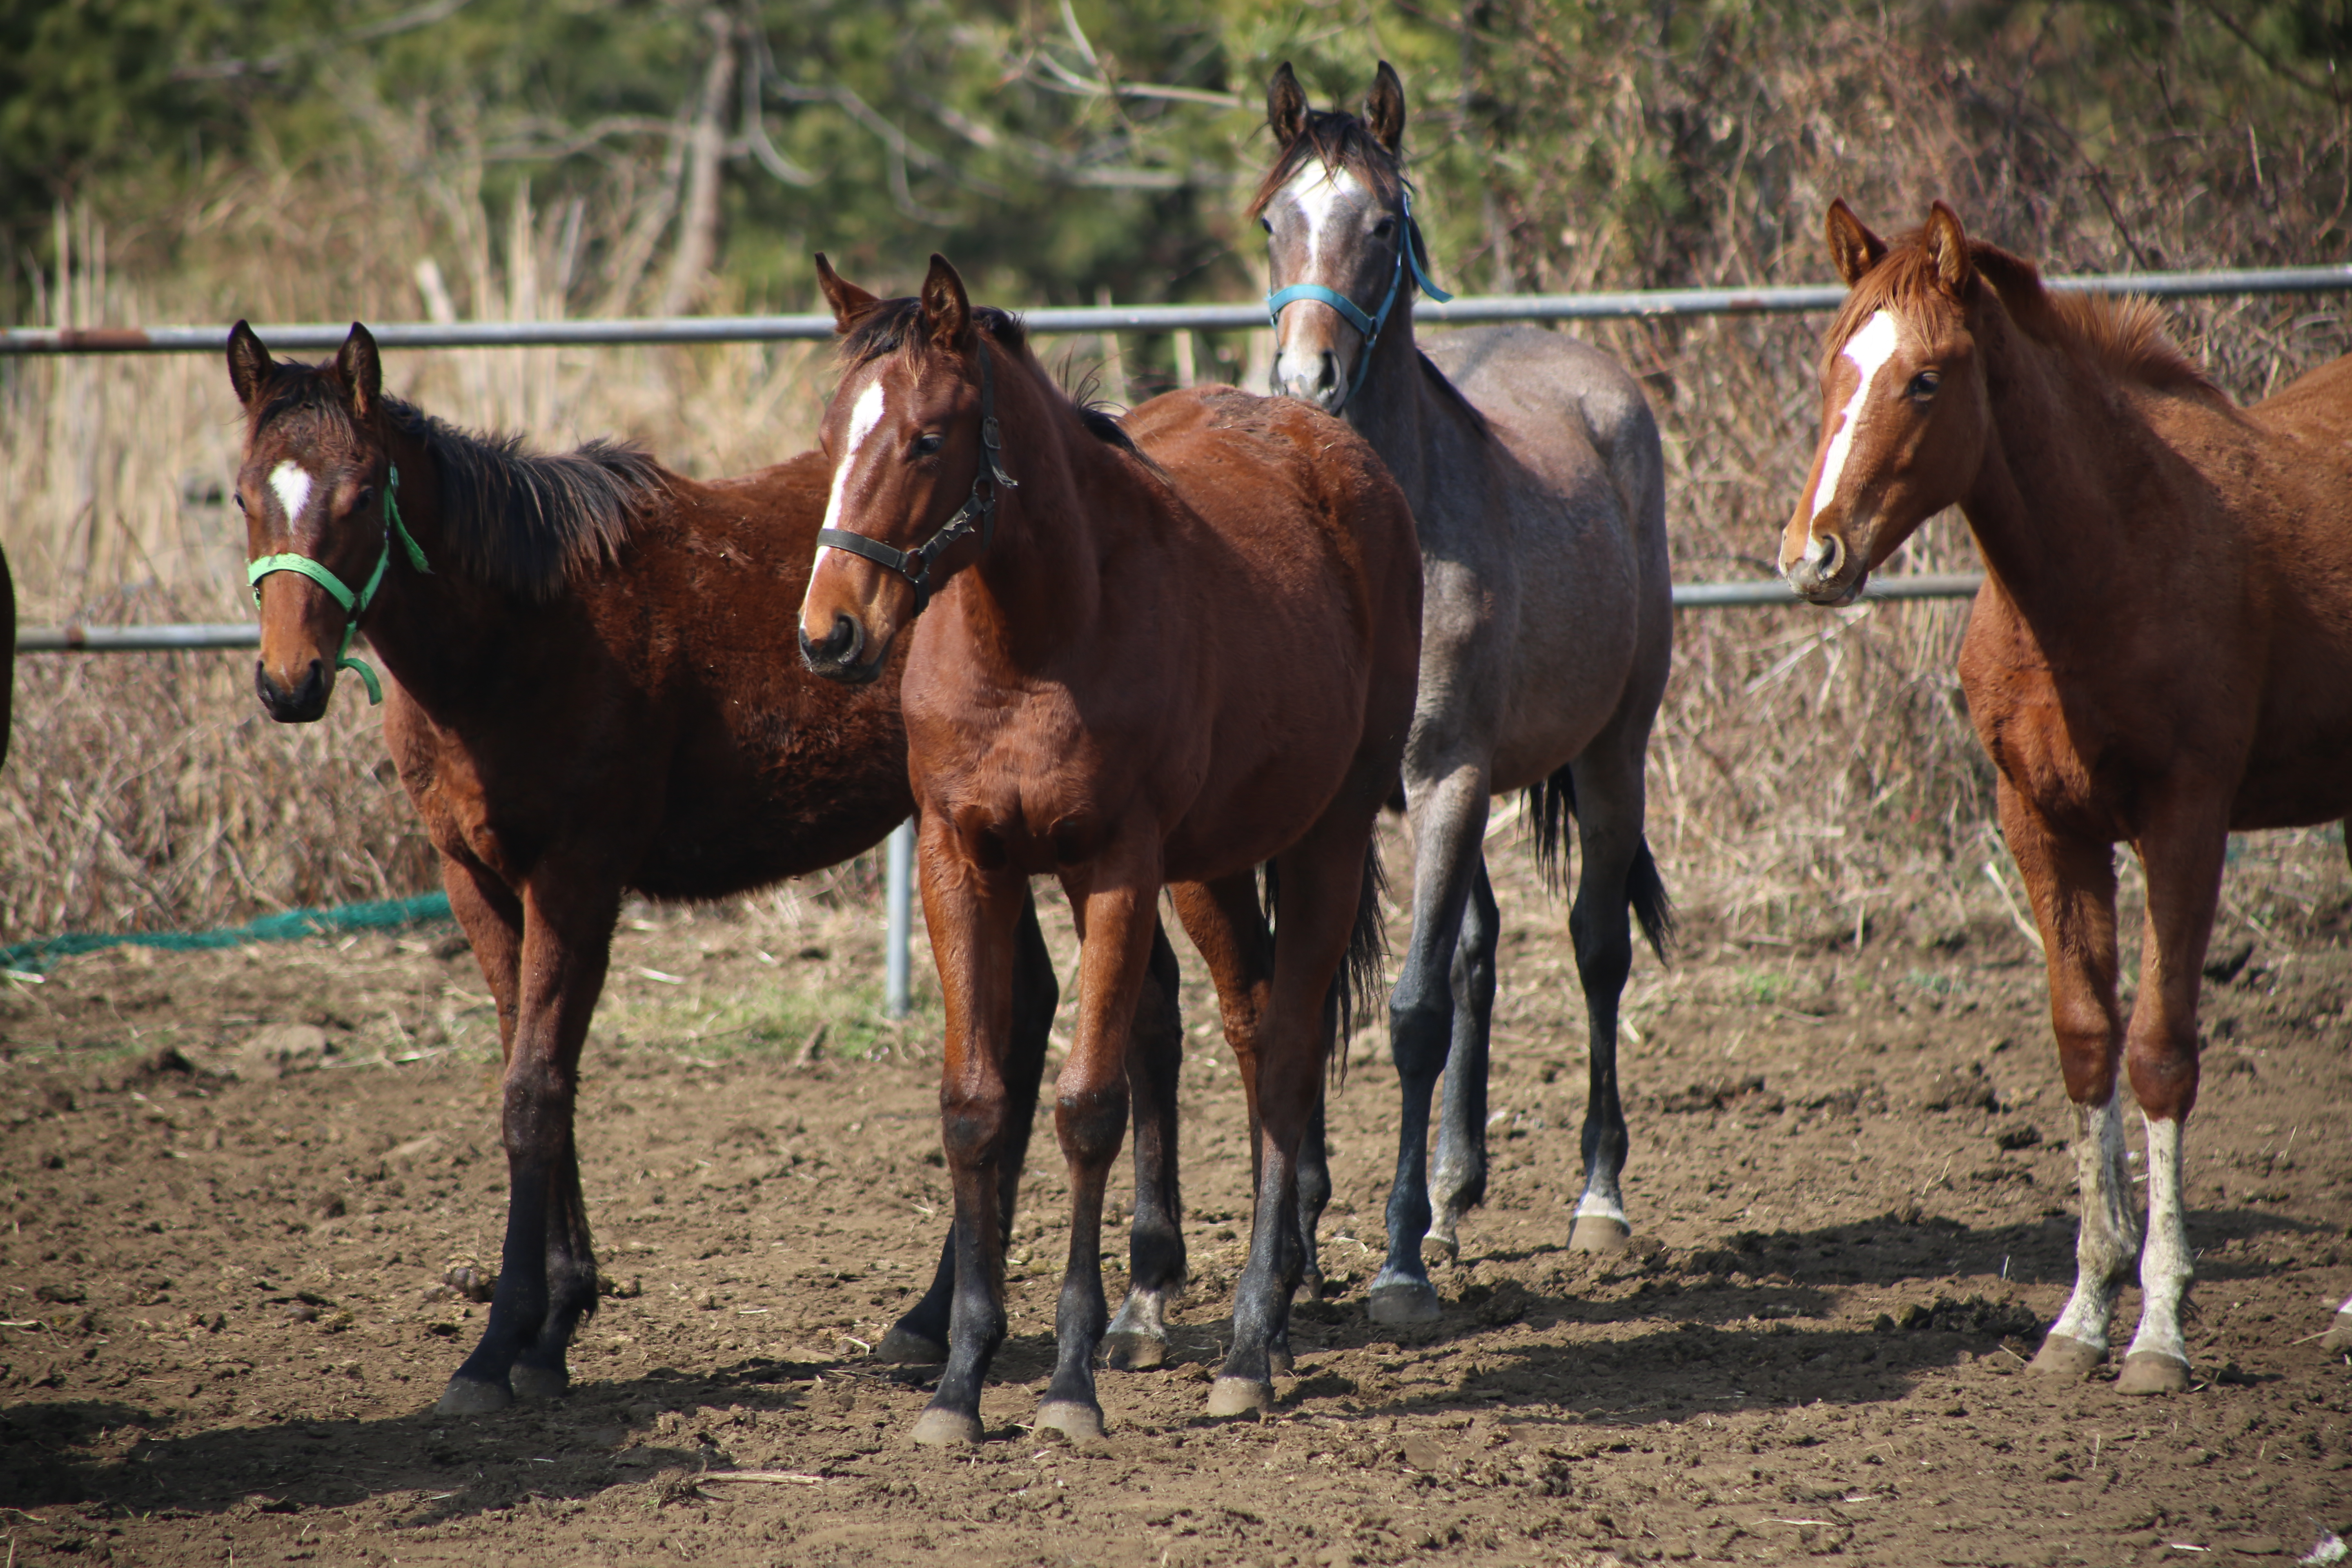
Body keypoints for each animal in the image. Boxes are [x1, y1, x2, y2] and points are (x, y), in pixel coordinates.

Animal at [222, 324, 1185, 1420]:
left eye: (357, 493)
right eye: (244, 494)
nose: (289, 682)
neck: (520, 631)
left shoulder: (575, 875)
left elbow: (534, 1092)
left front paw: (501, 1343)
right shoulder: (476, 878)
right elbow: (534, 1072)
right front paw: (555, 1319)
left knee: (1134, 1010)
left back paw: (1129, 1297)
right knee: (1034, 1017)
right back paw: (937, 1315)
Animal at [795, 257, 1411, 1448]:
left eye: (928, 439)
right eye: (831, 429)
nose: (827, 633)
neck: (1032, 642)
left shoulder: (1115, 868)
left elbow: (1085, 1108)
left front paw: (1070, 1384)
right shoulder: (963, 863)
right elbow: (977, 1105)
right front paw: (958, 1381)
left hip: (1328, 832)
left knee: (1288, 1047)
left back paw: (1253, 1343)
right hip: (1214, 862)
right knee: (1249, 1025)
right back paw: (1228, 1313)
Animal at [1251, 64, 1675, 1326]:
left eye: (1382, 225)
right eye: (1273, 219)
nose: (1305, 383)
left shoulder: (1444, 779)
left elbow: (1409, 1014)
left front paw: (1392, 1267)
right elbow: (1313, 1001)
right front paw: (1302, 1239)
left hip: (1610, 752)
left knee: (1593, 945)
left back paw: (1593, 1200)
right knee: (1479, 949)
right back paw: (1449, 1193)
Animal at [1778, 202, 2352, 1392]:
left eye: (1926, 381)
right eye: (1831, 366)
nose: (1813, 554)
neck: (2108, 560)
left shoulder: (2186, 821)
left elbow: (2159, 1052)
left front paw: (2160, 1330)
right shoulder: (2041, 824)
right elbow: (2085, 1038)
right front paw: (2081, 1316)